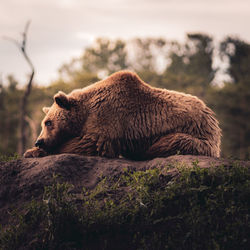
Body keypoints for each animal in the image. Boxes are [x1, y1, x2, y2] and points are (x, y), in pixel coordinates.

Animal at [24, 71, 222, 160]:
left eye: (48, 123)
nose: (39, 141)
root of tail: (213, 117)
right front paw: (32, 151)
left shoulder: (108, 118)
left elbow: (89, 143)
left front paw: (33, 152)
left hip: (197, 136)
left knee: (170, 142)